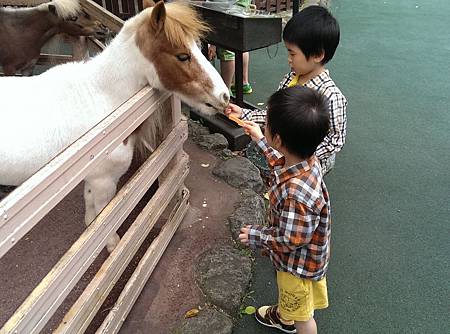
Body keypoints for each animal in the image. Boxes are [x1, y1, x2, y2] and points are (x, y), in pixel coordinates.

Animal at [0, 0, 229, 250]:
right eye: (182, 56)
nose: (225, 96)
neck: (102, 97)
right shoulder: (104, 180)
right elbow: (103, 221)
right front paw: (111, 246)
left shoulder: (92, 179)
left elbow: (91, 213)